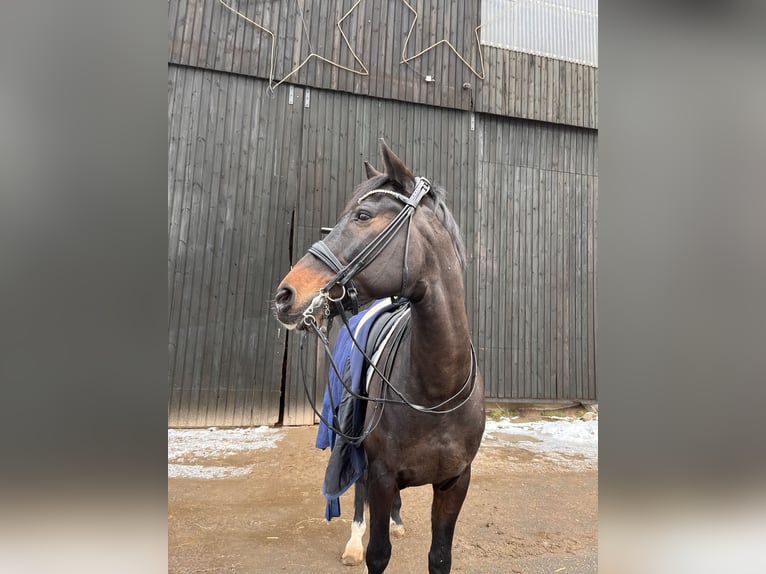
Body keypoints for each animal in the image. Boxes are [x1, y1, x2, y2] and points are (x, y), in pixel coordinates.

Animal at [272, 141, 484, 574]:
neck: (436, 389)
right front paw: (363, 545)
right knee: (357, 491)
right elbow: (378, 552)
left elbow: (440, 557)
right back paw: (354, 539)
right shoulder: (382, 475)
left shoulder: (456, 482)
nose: (286, 295)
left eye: (363, 216)